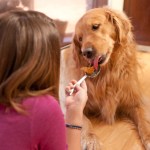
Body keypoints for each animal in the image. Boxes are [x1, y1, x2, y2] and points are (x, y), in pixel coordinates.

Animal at [59, 7, 150, 150]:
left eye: (95, 26)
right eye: (80, 39)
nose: (86, 52)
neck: (107, 74)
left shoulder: (133, 101)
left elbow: (143, 120)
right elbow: (84, 121)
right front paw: (91, 140)